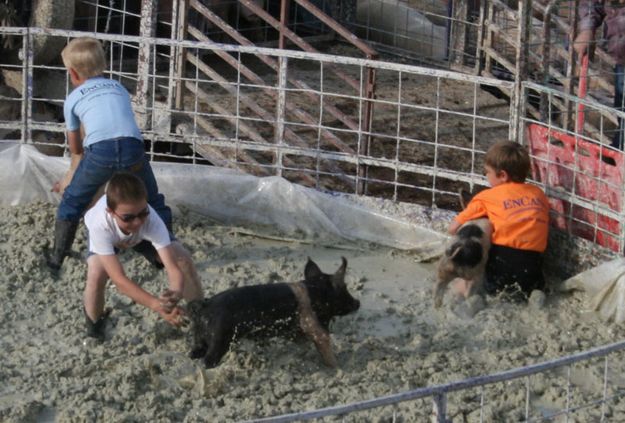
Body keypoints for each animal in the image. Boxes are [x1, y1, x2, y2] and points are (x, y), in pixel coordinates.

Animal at [184, 256, 360, 370]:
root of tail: (205, 305)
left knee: (195, 352)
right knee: (208, 360)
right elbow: (327, 350)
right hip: (219, 340)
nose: (358, 302)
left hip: (199, 336)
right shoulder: (317, 329)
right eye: (344, 288)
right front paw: (338, 368)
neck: (315, 293)